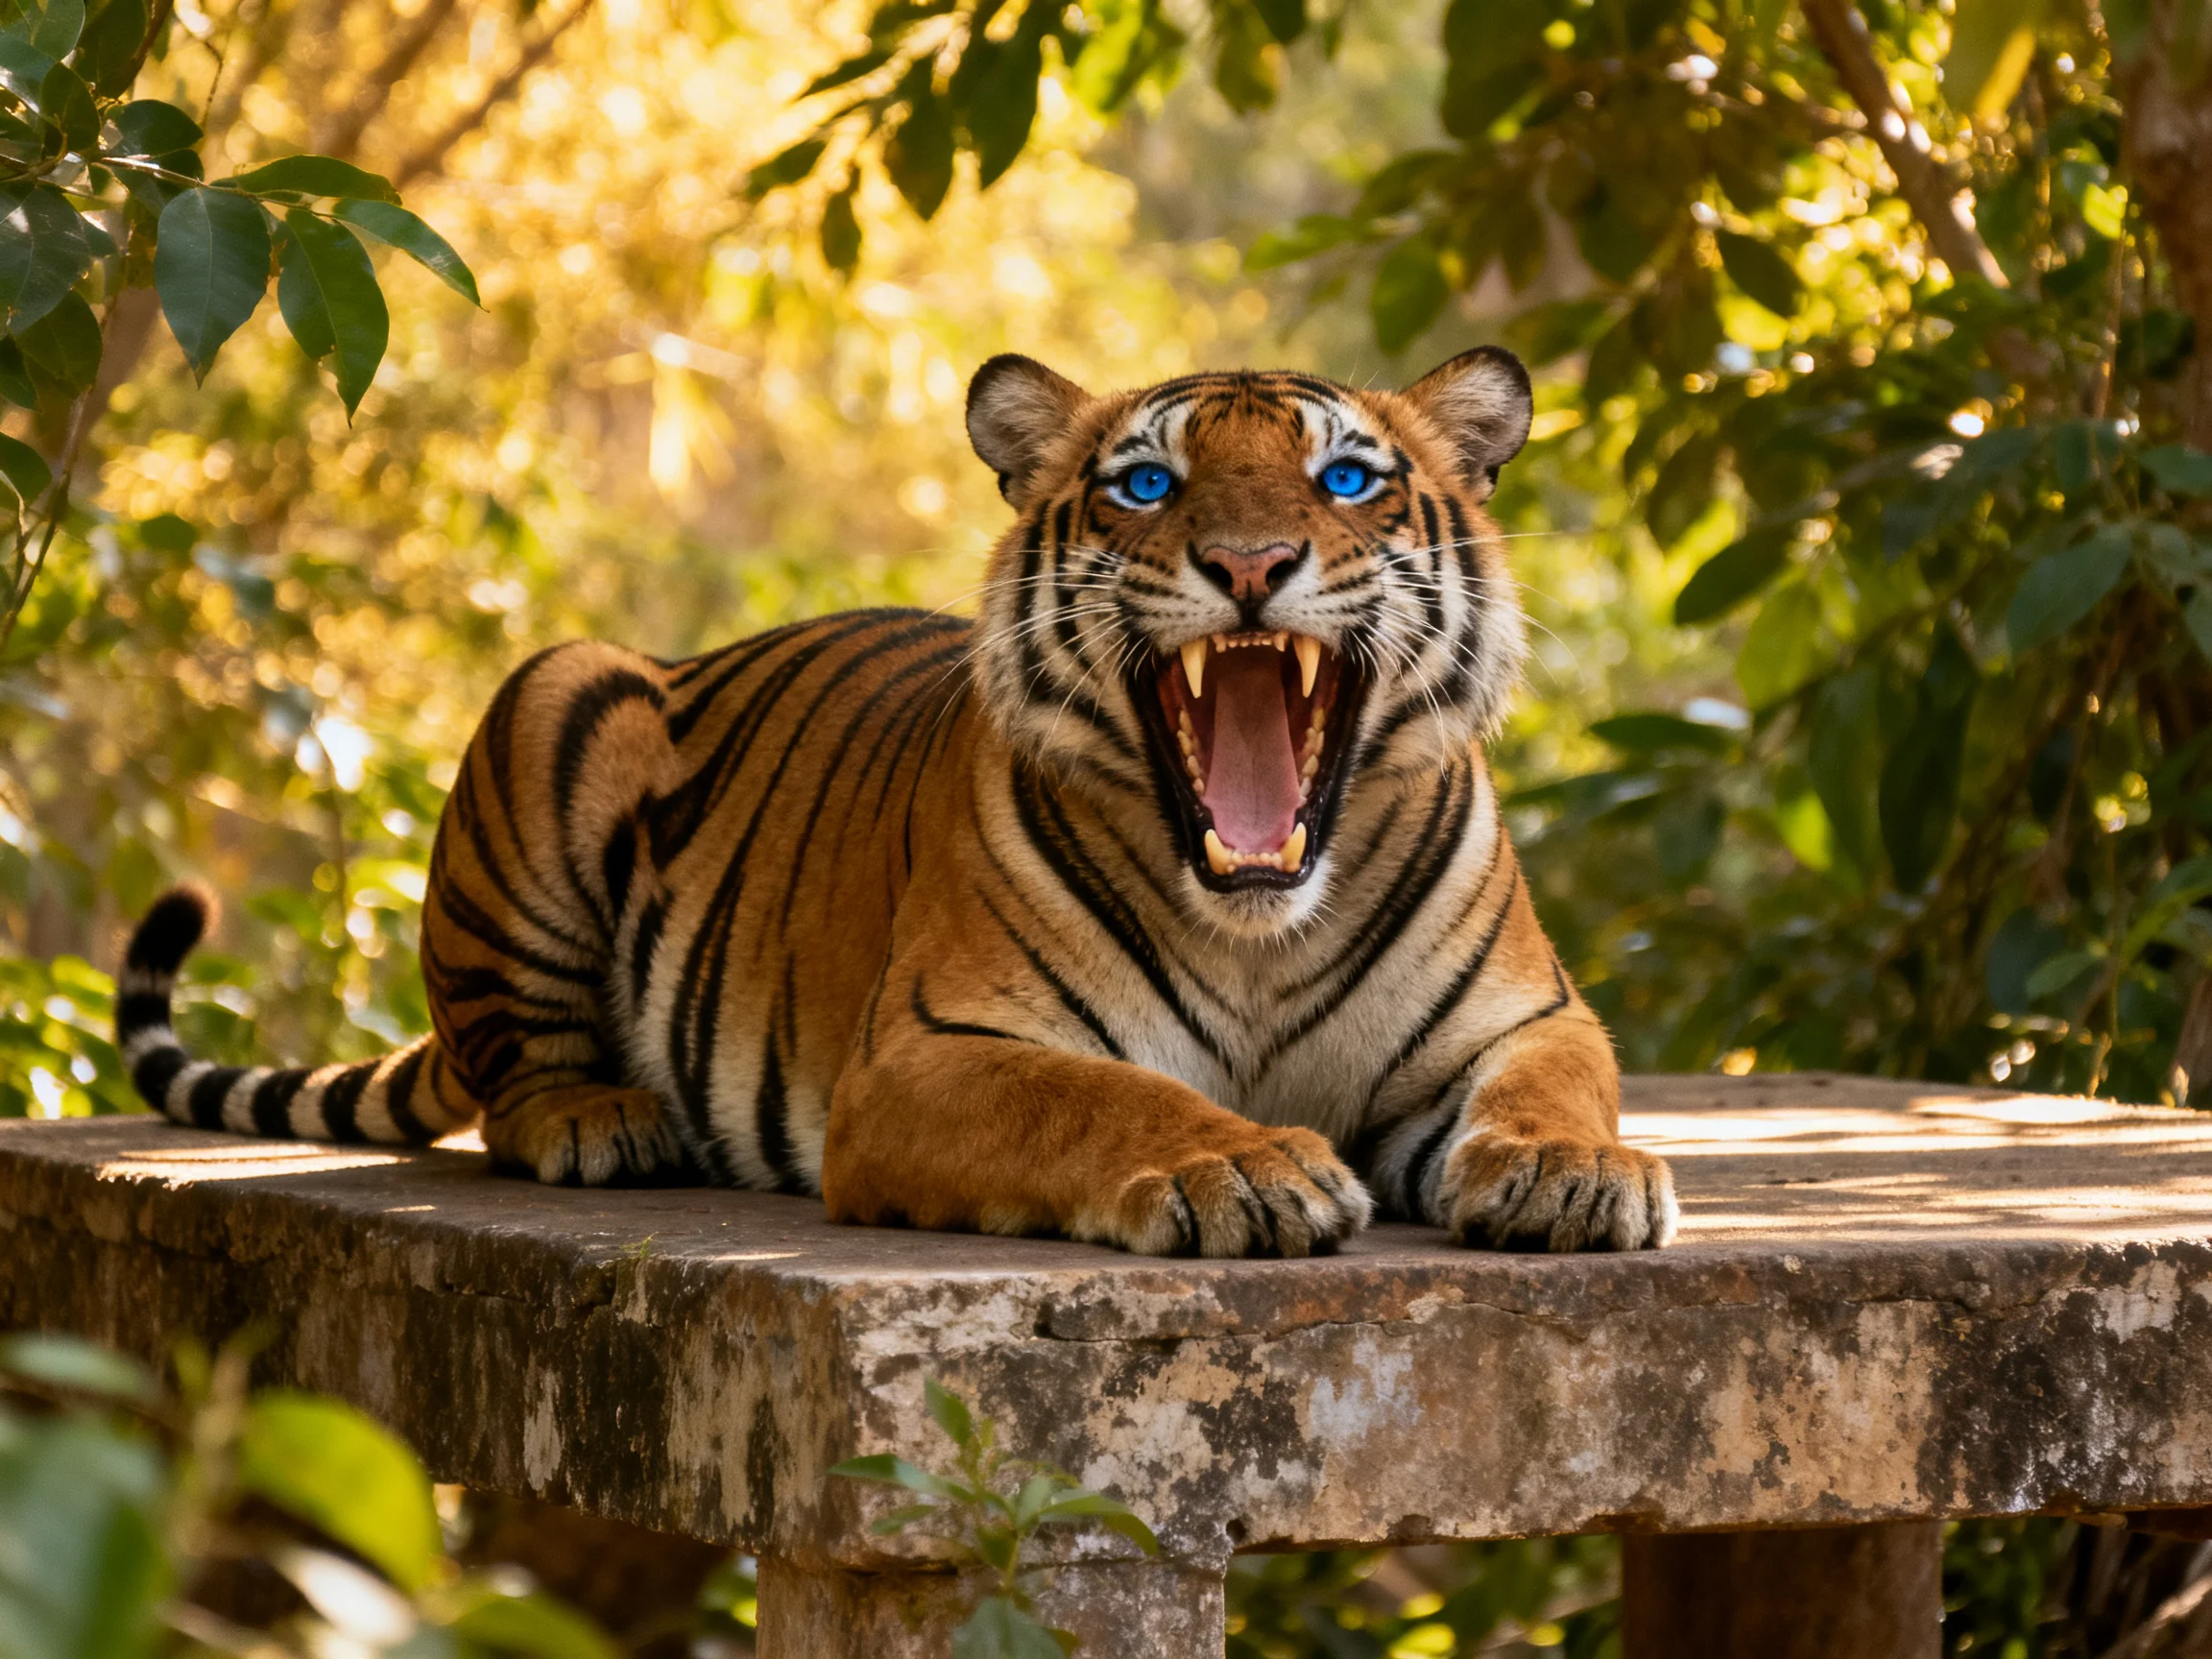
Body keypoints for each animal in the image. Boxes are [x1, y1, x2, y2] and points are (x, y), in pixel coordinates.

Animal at [115, 348, 1676, 1256]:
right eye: (1147, 485)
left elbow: (1552, 1083)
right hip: (557, 688)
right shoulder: (931, 1055)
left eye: (1348, 477)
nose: (1248, 564)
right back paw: (601, 1119)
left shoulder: (1518, 1018)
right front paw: (1244, 1172)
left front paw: (1571, 1172)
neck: (1258, 931)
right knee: (509, 1083)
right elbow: (1101, 1096)